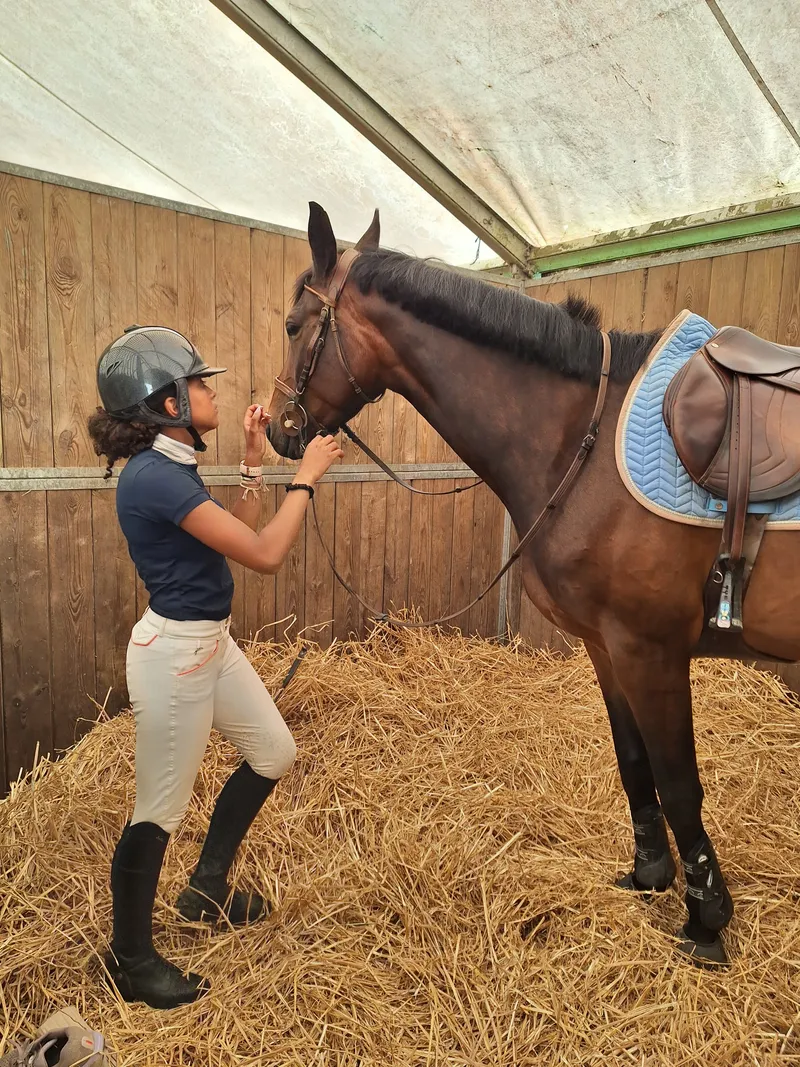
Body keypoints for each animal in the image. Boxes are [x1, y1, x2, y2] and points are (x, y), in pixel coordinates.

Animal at [267, 202, 800, 966]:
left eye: (292, 325)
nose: (277, 427)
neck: (583, 439)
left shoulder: (650, 651)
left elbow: (678, 784)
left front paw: (705, 921)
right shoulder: (608, 648)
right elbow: (634, 762)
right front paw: (649, 874)